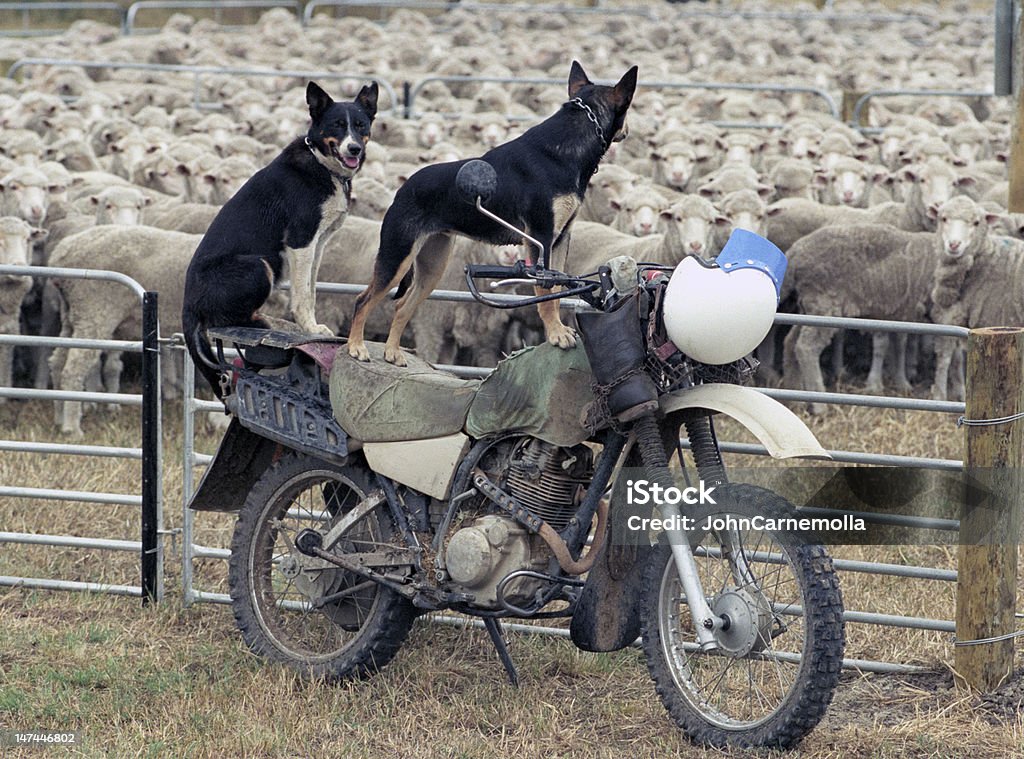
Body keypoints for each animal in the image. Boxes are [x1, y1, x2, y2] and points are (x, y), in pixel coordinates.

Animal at [183, 79, 376, 393]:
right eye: (336, 126)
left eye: (360, 125)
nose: (354, 148)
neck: (321, 164)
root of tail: (188, 304)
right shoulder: (301, 240)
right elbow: (302, 295)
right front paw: (310, 328)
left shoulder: (318, 245)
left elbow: (310, 289)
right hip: (257, 265)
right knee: (226, 319)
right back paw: (267, 323)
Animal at [346, 62, 630, 364]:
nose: (628, 131)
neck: (565, 146)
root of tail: (402, 189)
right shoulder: (540, 236)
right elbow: (544, 291)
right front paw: (556, 335)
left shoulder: (561, 238)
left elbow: (554, 290)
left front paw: (557, 330)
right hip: (397, 257)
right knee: (362, 301)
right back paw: (356, 347)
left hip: (433, 265)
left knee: (402, 306)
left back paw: (392, 352)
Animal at [929, 195, 1024, 399]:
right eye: (943, 218)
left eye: (976, 222)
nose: (954, 244)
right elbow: (952, 357)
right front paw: (956, 393)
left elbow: (944, 357)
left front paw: (939, 396)